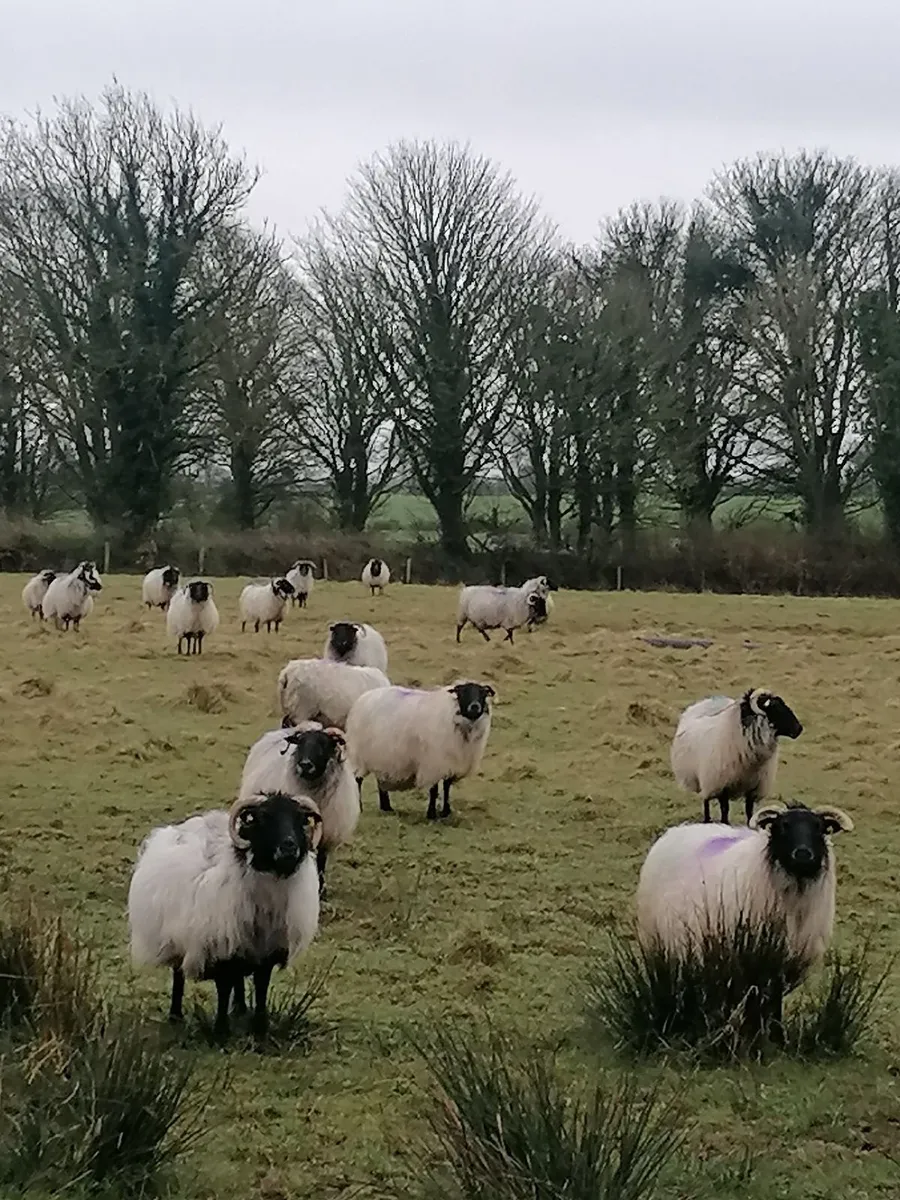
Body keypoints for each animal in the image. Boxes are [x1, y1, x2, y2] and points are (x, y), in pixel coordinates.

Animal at [128, 790, 323, 1039]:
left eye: (301, 819)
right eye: (264, 818)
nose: (289, 847)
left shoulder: (266, 950)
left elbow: (261, 987)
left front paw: (260, 1030)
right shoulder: (219, 947)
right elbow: (223, 988)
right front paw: (220, 1032)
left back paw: (240, 1008)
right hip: (177, 937)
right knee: (179, 974)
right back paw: (176, 1015)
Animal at [239, 723, 360, 899]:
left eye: (325, 744)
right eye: (300, 743)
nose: (305, 765)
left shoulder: (326, 835)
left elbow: (321, 862)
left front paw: (321, 890)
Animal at [345, 680, 495, 820]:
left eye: (483, 693)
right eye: (462, 692)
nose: (474, 706)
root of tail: (364, 697)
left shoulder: (450, 763)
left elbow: (447, 787)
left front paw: (446, 812)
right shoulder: (433, 763)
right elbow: (434, 790)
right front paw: (432, 814)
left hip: (381, 755)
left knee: (380, 779)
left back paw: (386, 807)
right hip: (358, 754)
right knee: (357, 780)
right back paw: (360, 807)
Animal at [635, 801, 854, 1018]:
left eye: (820, 828)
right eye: (783, 826)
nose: (802, 854)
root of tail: (673, 832)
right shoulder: (754, 960)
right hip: (658, 945)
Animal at [671, 687, 804, 825]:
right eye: (775, 709)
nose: (799, 729)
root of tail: (702, 704)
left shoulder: (753, 788)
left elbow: (749, 810)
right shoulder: (722, 785)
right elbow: (725, 809)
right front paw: (724, 824)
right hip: (704, 779)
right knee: (706, 800)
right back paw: (707, 820)